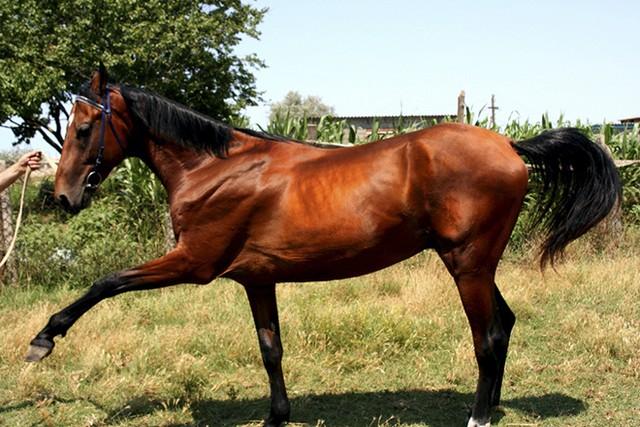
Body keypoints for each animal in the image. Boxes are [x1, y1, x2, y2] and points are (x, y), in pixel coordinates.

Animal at [26, 66, 621, 427]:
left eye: (84, 129)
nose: (63, 197)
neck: (216, 170)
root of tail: (511, 146)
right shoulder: (257, 278)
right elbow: (270, 348)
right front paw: (276, 414)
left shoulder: (194, 263)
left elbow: (105, 282)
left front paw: (43, 339)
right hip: (475, 263)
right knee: (506, 322)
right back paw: (493, 406)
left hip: (468, 264)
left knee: (489, 335)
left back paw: (477, 415)